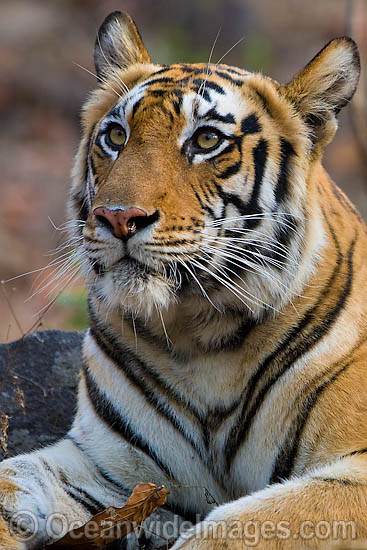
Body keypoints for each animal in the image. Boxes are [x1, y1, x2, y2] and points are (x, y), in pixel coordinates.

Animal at [0, 9, 367, 550]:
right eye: (115, 136)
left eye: (207, 140)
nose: (118, 217)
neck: (203, 337)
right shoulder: (112, 471)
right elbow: (15, 476)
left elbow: (241, 527)